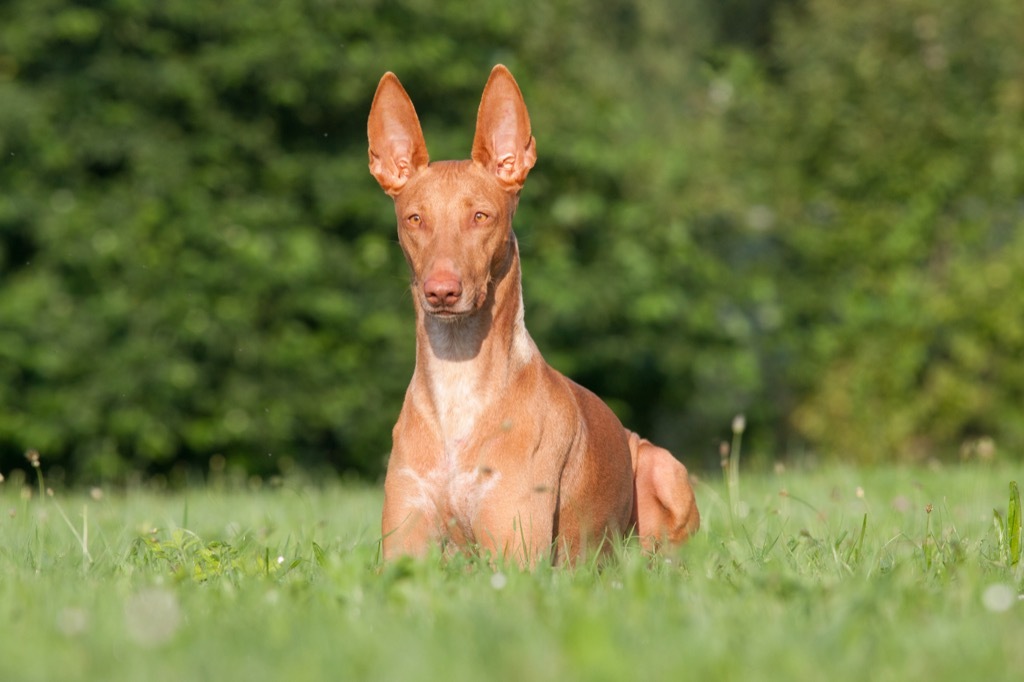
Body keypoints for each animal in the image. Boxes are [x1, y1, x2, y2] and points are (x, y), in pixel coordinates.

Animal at [366, 65, 696, 561]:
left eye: (481, 216)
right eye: (415, 219)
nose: (441, 291)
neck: (458, 382)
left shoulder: (516, 556)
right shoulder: (402, 551)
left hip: (662, 468)